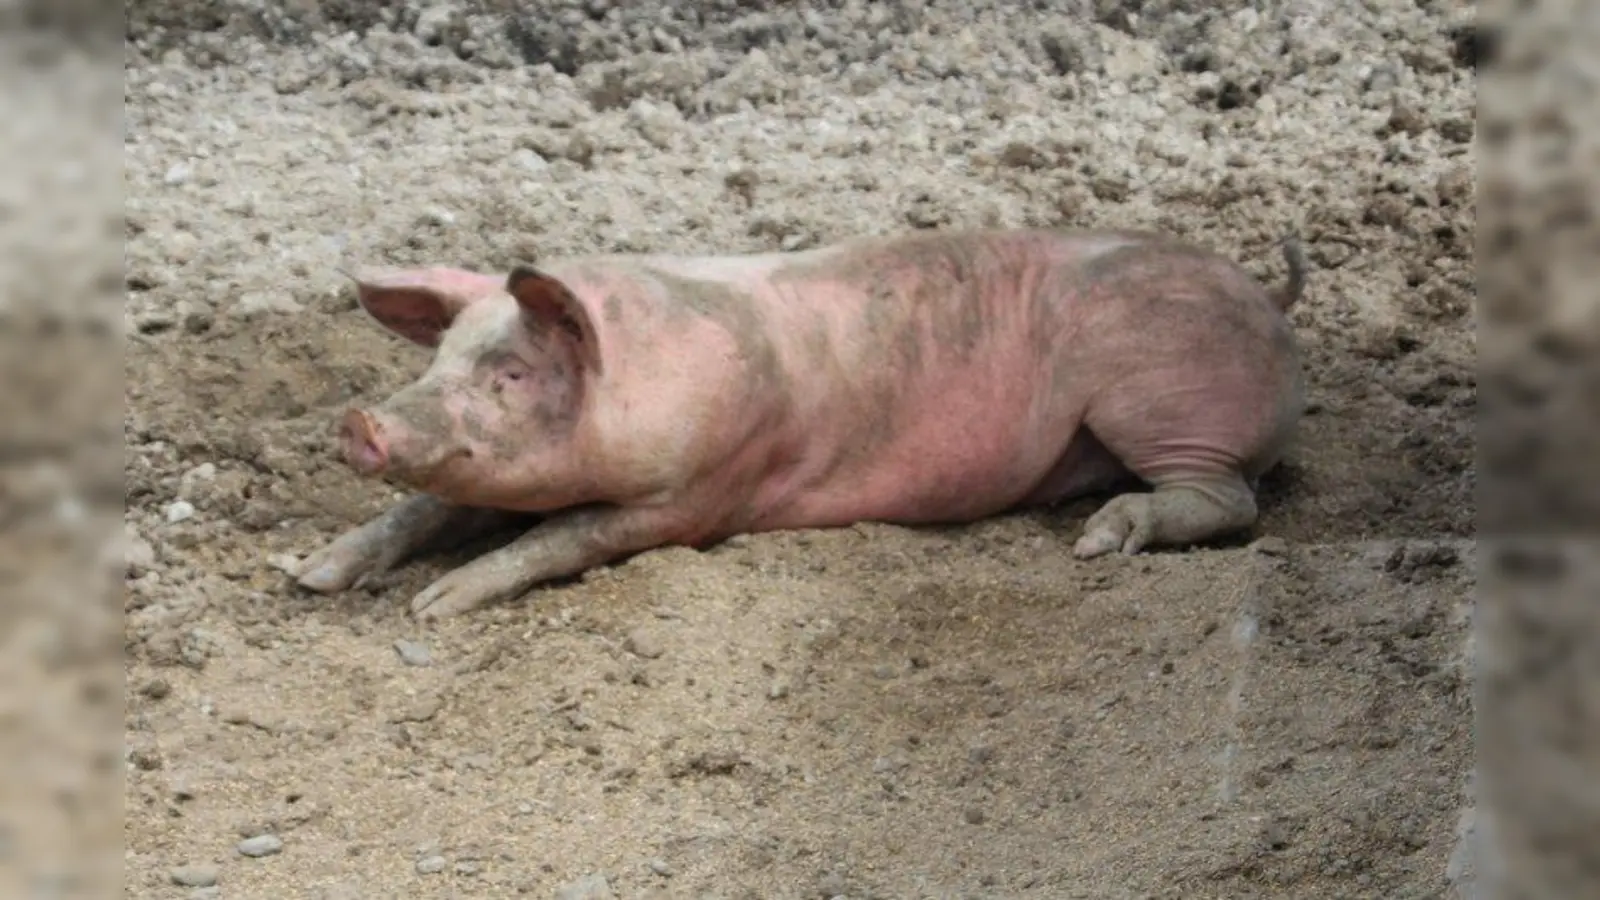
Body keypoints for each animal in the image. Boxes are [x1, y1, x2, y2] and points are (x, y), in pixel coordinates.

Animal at [296, 227, 1307, 620]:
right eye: (437, 360)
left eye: (509, 371)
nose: (360, 421)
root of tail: (1268, 295)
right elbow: (431, 508)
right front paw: (308, 575)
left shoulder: (699, 492)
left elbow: (562, 538)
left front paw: (436, 603)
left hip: (1161, 396)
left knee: (1228, 498)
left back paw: (1101, 539)